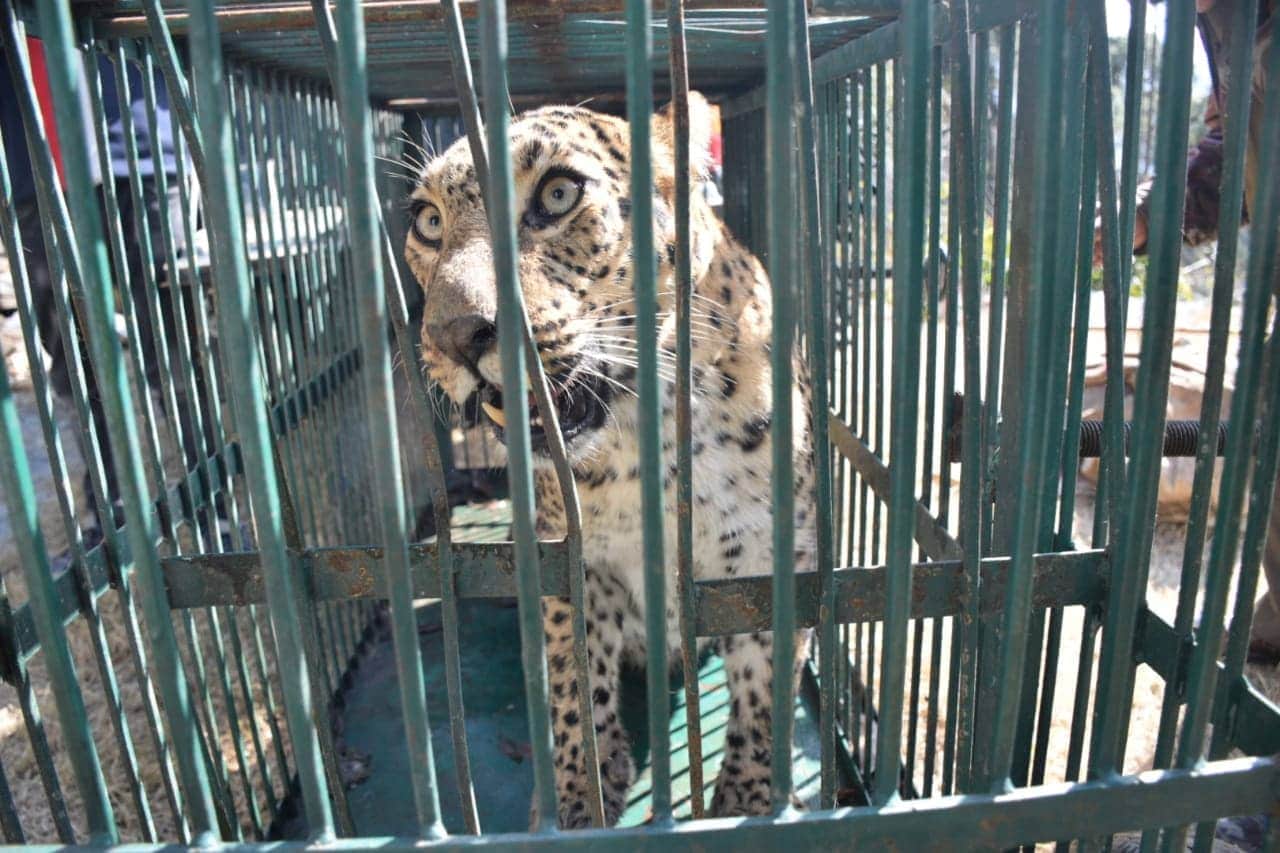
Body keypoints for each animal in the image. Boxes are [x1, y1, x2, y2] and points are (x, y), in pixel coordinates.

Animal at [403, 92, 816, 829]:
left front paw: (746, 800)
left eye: (558, 194)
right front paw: (580, 793)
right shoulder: (573, 562)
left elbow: (764, 690)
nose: (454, 335)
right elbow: (574, 681)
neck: (647, 444)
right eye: (428, 222)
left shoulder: (774, 557)